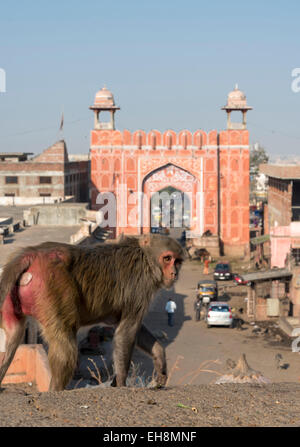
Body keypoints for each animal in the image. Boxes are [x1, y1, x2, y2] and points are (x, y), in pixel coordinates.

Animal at [0, 234, 184, 392]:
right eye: (167, 258)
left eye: (178, 261)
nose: (174, 273)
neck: (146, 258)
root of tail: (31, 253)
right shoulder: (141, 286)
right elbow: (126, 332)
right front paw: (121, 383)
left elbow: (131, 329)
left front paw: (160, 360)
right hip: (53, 284)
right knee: (66, 344)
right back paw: (55, 390)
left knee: (13, 336)